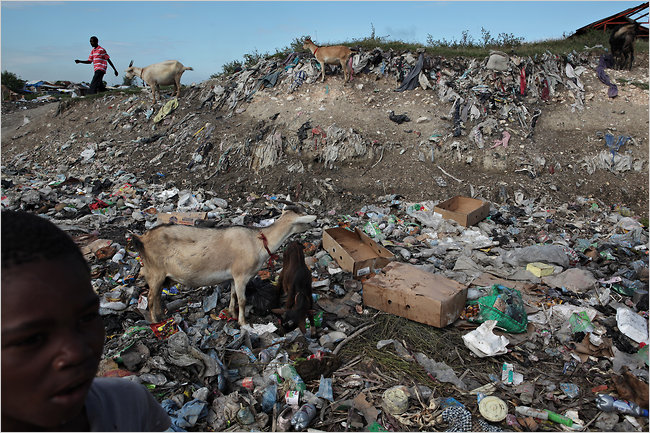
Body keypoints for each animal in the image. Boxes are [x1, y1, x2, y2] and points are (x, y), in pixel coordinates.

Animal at [130, 207, 316, 324]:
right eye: (303, 218)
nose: (315, 222)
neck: (257, 241)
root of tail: (142, 239)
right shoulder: (242, 275)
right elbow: (242, 299)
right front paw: (243, 323)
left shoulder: (233, 276)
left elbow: (233, 295)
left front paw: (232, 313)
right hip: (155, 272)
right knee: (151, 297)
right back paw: (155, 321)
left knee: (158, 296)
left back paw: (161, 316)